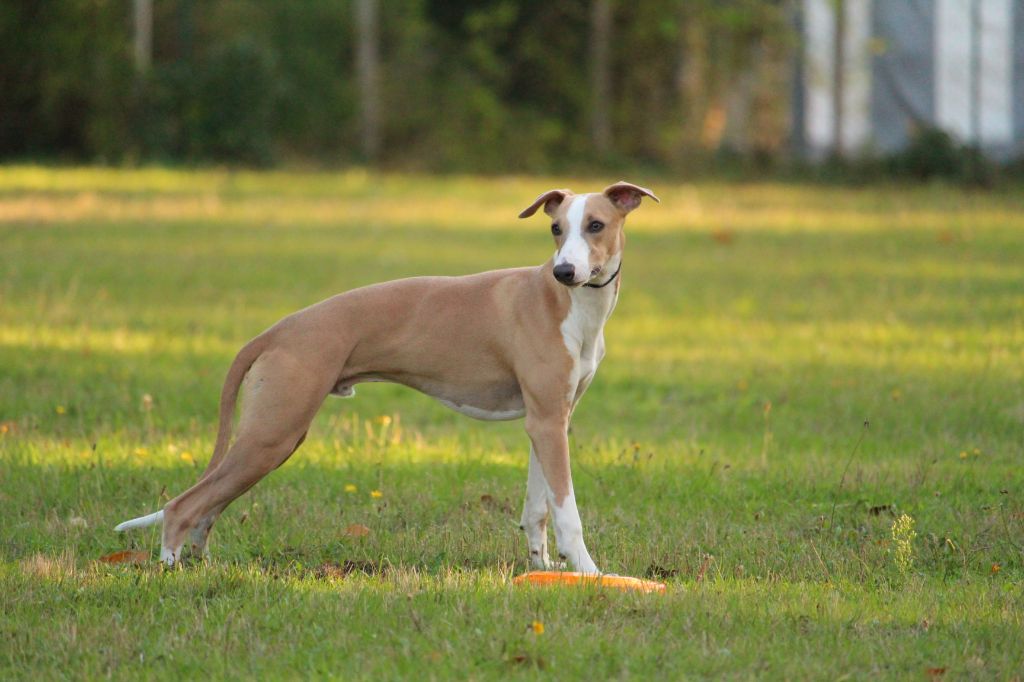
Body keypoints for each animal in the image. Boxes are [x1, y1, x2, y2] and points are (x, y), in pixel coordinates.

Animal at [112, 179, 655, 569]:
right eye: (556, 230)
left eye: (596, 225)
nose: (565, 271)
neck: (566, 304)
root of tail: (274, 331)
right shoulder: (545, 422)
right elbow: (568, 512)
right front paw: (590, 573)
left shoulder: (549, 419)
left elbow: (539, 508)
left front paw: (544, 568)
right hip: (273, 433)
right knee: (183, 505)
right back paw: (169, 567)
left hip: (269, 439)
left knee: (208, 507)